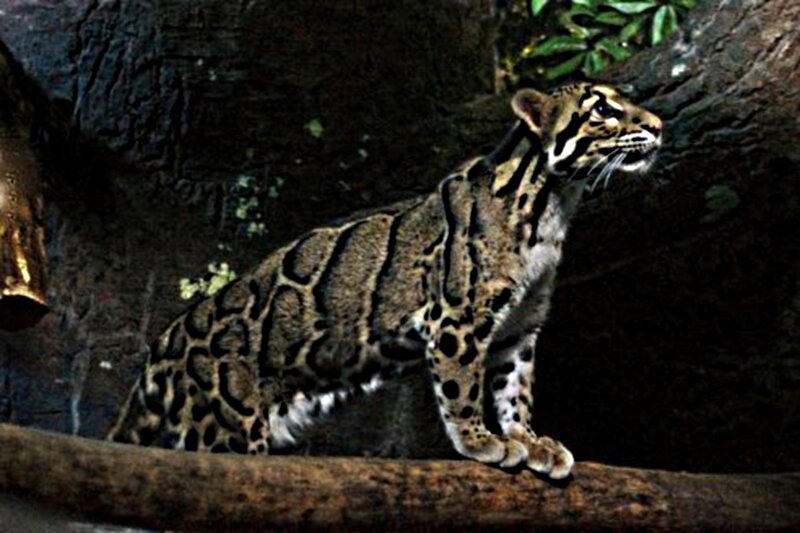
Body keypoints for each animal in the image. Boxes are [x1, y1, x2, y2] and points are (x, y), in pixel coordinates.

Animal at [107, 82, 662, 480]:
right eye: (602, 109)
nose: (658, 126)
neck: (552, 206)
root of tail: (159, 352)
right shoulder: (458, 318)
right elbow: (463, 386)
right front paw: (480, 441)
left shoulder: (520, 327)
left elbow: (513, 389)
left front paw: (528, 438)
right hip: (227, 430)